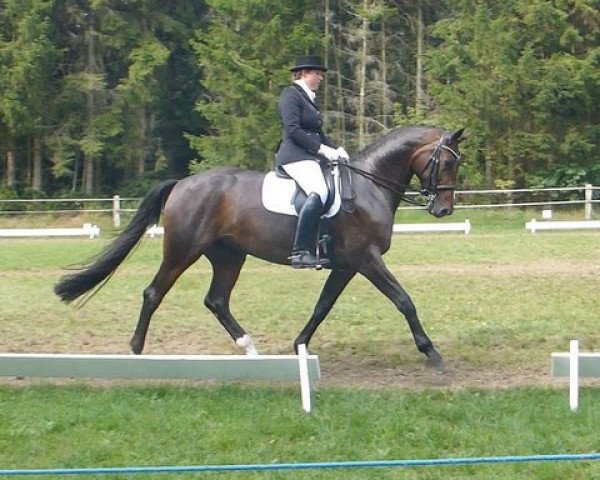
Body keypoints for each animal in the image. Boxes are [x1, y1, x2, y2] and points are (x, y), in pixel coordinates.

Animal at [55, 124, 464, 372]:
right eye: (445, 162)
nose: (443, 210)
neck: (368, 186)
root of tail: (183, 184)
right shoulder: (367, 259)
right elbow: (403, 300)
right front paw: (432, 353)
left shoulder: (347, 265)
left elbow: (322, 306)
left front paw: (299, 345)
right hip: (183, 250)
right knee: (154, 293)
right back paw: (137, 352)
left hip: (229, 255)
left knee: (216, 300)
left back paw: (250, 349)